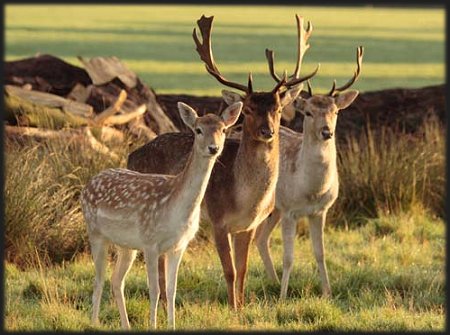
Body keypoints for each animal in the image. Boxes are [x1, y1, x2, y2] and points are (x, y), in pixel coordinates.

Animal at [81, 100, 243, 330]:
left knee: (116, 280)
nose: (214, 148)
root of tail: (87, 184)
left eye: (223, 129)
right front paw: (153, 326)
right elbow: (155, 290)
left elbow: (172, 290)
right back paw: (94, 323)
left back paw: (126, 326)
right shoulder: (150, 243)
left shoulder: (179, 246)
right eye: (198, 130)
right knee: (99, 279)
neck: (176, 209)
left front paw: (172, 326)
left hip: (126, 245)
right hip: (95, 232)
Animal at [125, 15, 318, 310]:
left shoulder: (248, 226)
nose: (268, 131)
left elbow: (243, 269)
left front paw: (241, 306)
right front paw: (231, 307)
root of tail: (131, 155)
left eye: (277, 108)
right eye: (248, 109)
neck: (245, 199)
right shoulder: (218, 220)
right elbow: (229, 270)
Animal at [253, 46, 366, 300]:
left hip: (272, 209)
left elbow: (320, 253)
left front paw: (328, 293)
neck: (311, 190)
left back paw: (273, 281)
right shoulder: (289, 210)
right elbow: (288, 257)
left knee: (260, 238)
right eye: (308, 113)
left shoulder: (320, 211)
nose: (327, 132)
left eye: (335, 111)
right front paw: (283, 297)